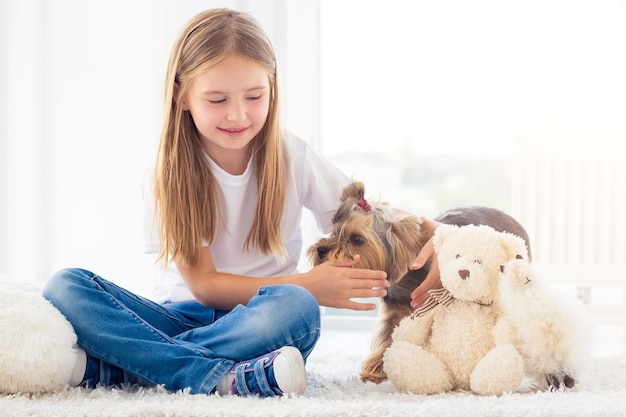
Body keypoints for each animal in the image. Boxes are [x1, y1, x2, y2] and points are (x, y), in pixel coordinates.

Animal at [306, 180, 528, 382]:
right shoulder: (395, 311)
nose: (321, 250)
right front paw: (377, 368)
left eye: (357, 239)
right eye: (335, 231)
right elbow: (391, 334)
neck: (402, 281)